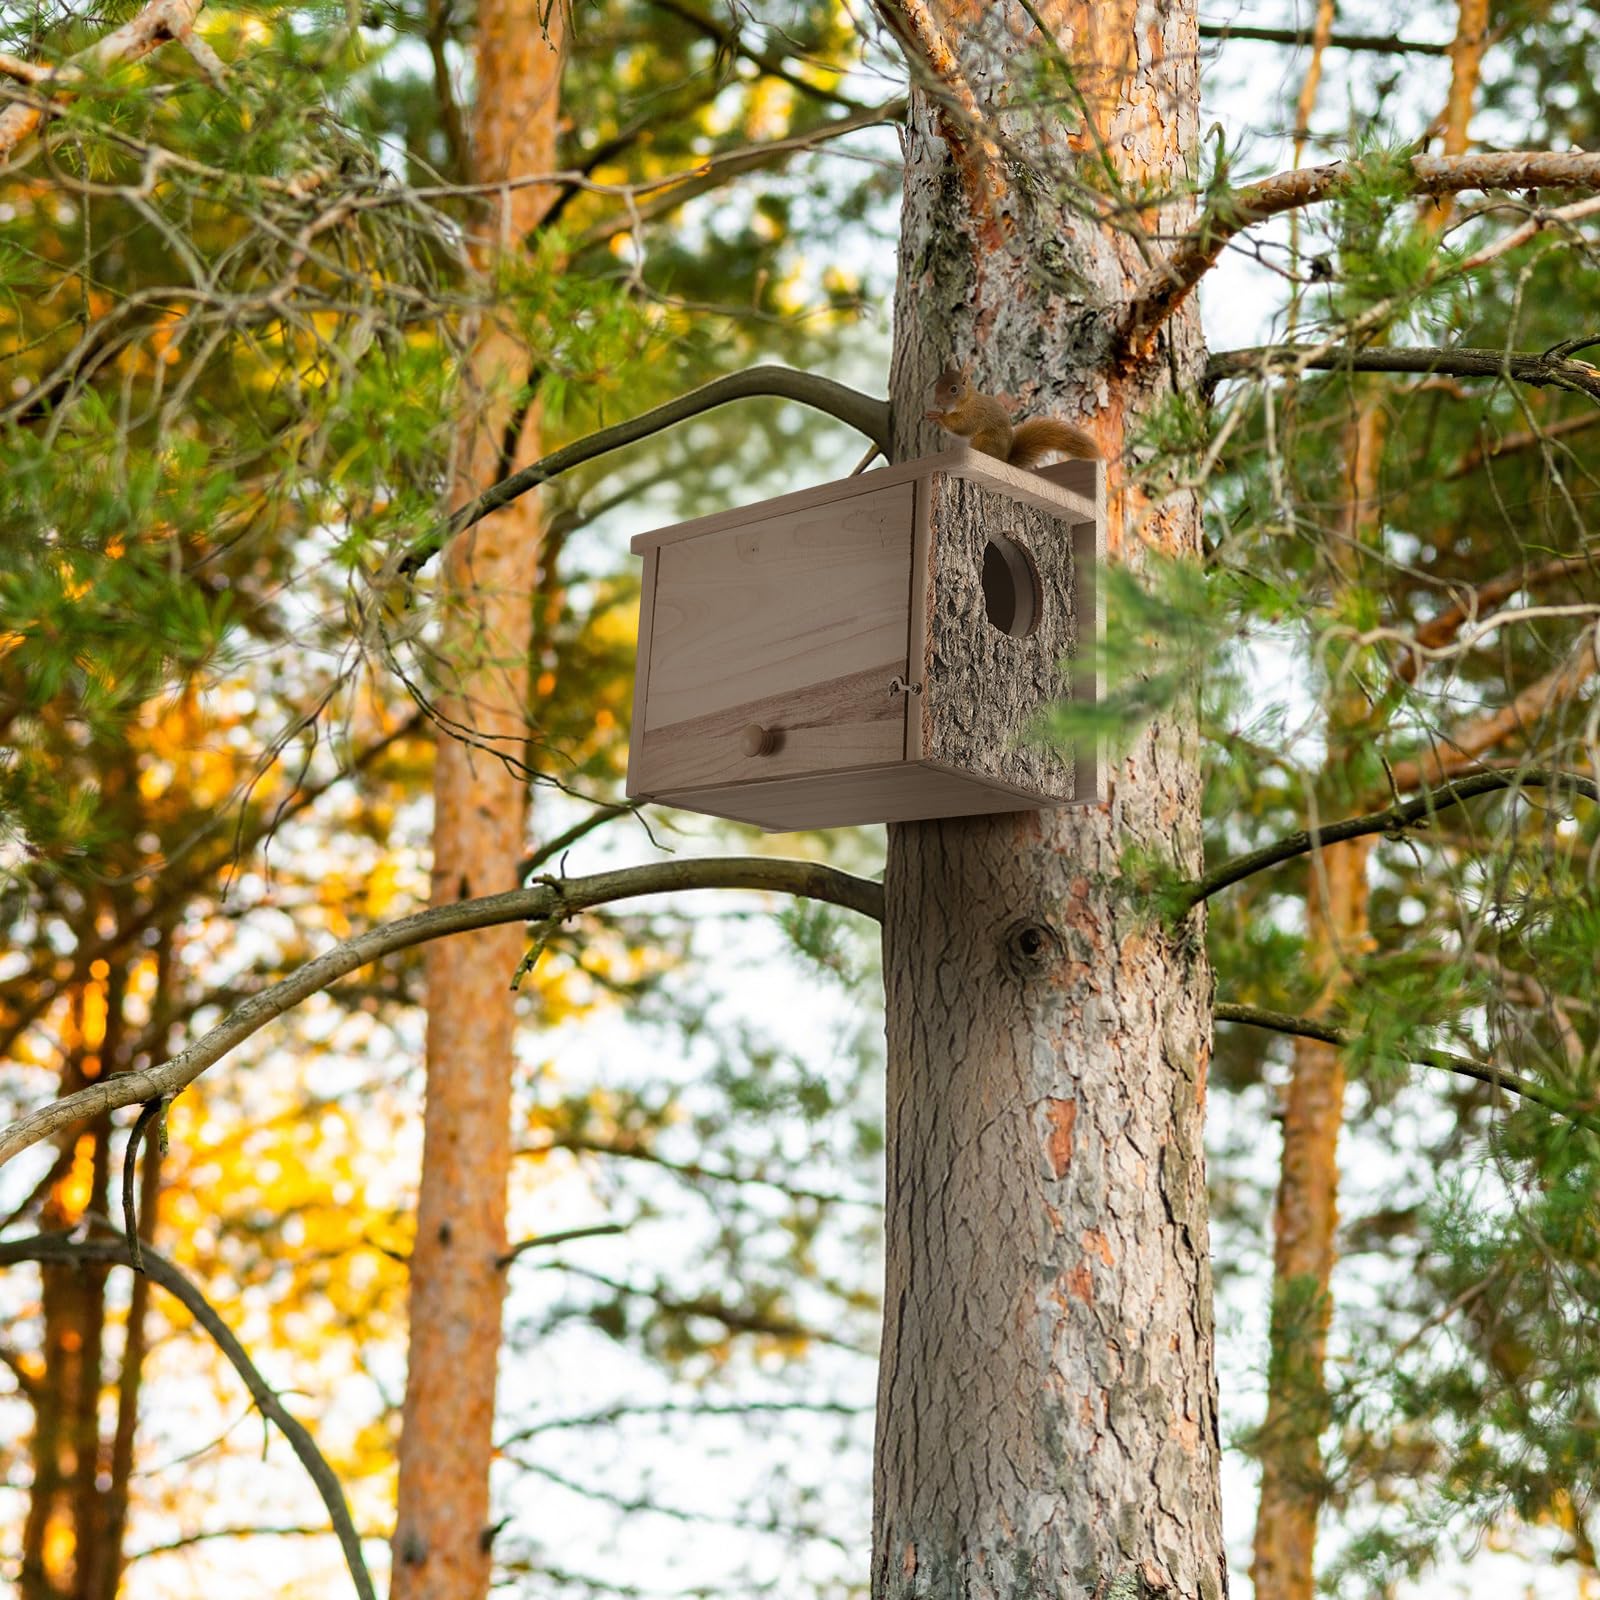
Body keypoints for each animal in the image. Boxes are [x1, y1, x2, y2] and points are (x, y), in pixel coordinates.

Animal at [923, 363, 1100, 468]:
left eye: (953, 389)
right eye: (937, 384)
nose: (936, 401)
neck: (966, 400)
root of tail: (1004, 459)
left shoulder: (975, 413)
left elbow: (963, 425)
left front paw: (938, 417)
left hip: (985, 441)